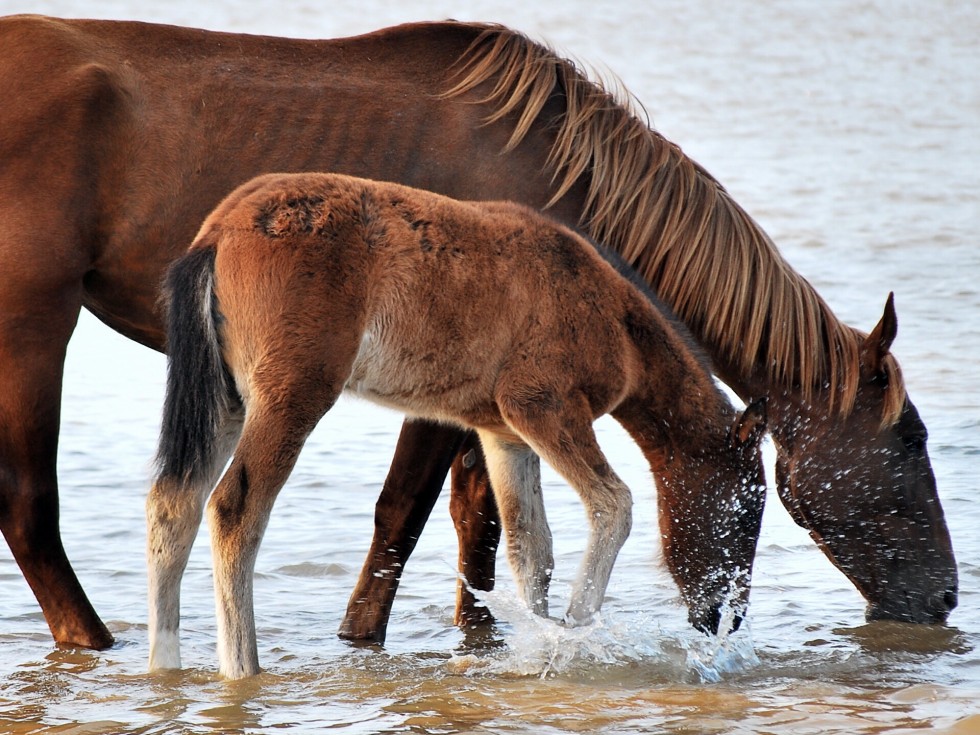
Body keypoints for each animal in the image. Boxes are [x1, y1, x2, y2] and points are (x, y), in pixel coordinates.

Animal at [147, 172, 772, 680]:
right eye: (746, 511)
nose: (728, 618)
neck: (615, 320)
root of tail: (217, 235)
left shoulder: (505, 433)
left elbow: (530, 547)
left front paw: (539, 643)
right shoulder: (542, 406)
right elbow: (612, 504)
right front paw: (576, 634)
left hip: (226, 399)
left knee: (173, 505)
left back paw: (165, 666)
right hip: (292, 392)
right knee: (235, 508)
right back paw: (242, 671)